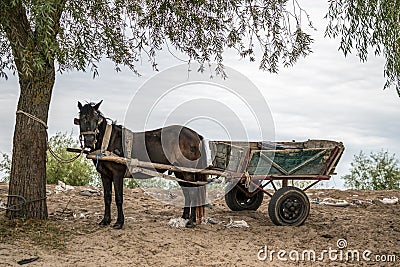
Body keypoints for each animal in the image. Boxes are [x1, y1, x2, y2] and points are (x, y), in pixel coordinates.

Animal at [74, 101, 209, 229]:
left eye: (96, 119)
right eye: (81, 118)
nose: (90, 141)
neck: (108, 141)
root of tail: (196, 135)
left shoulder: (117, 174)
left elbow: (118, 198)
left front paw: (119, 222)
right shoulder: (105, 175)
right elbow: (107, 197)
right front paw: (105, 220)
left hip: (187, 172)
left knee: (193, 193)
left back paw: (190, 221)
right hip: (179, 172)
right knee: (187, 192)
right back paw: (185, 218)